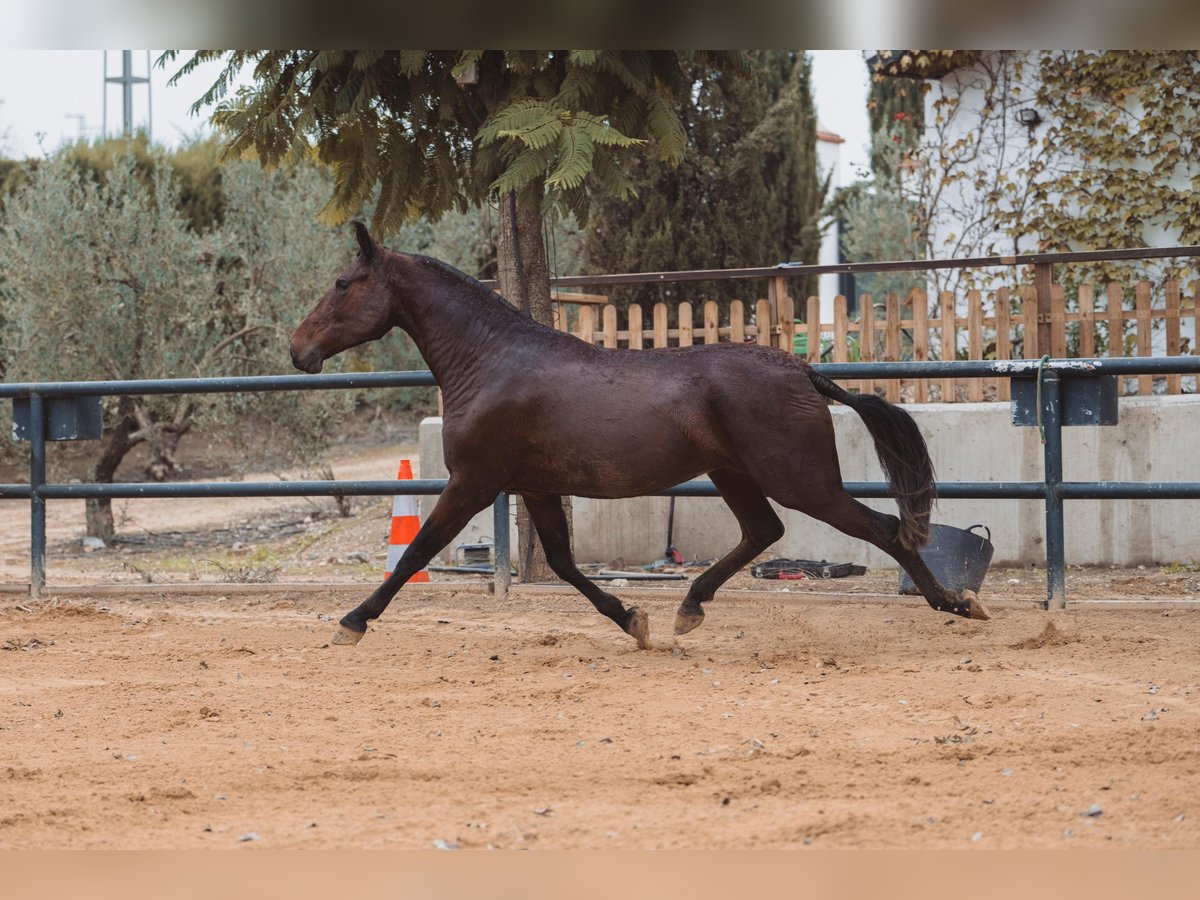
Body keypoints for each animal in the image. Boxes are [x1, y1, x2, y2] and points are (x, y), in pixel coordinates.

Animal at [292, 224, 993, 648]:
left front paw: (352, 622)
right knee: (763, 532)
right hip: (734, 474)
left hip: (800, 479)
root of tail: (803, 369)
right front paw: (634, 620)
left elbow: (416, 552)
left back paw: (957, 604)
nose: (300, 350)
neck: (490, 361)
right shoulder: (535, 488)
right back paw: (689, 608)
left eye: (343, 283)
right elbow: (566, 564)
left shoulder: (473, 482)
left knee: (884, 528)